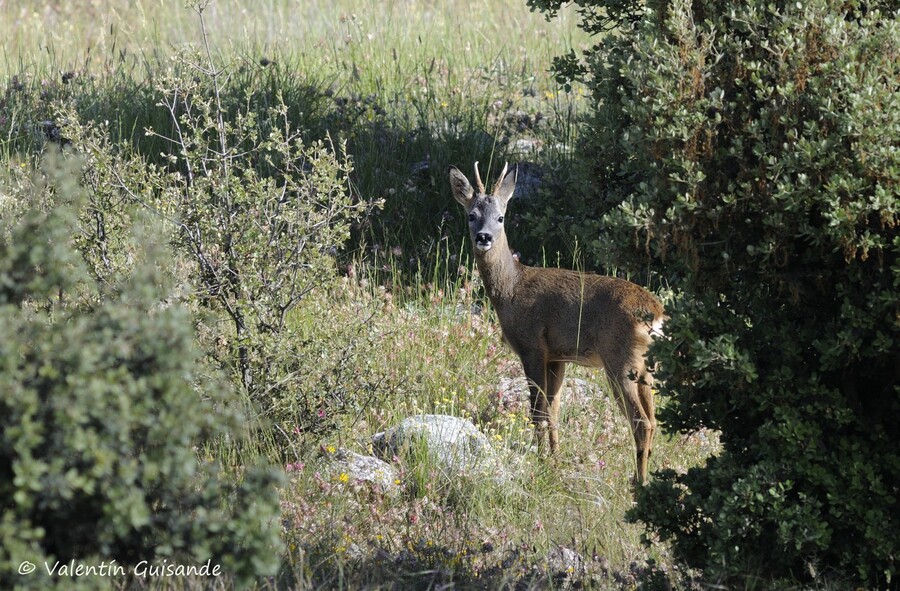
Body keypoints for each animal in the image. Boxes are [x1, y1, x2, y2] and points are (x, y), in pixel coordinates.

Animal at [448, 163, 664, 486]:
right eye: (471, 215)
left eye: (501, 217)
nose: (484, 237)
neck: (511, 288)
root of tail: (655, 312)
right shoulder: (557, 356)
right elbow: (554, 411)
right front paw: (554, 459)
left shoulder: (532, 347)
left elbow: (537, 412)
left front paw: (540, 462)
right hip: (644, 366)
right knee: (652, 418)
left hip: (620, 359)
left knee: (641, 421)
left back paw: (639, 481)